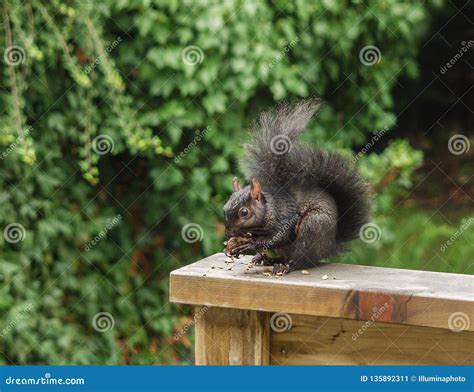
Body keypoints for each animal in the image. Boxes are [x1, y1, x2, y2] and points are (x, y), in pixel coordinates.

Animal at [224, 99, 372, 276]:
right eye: (224, 207)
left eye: (244, 212)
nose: (229, 232)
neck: (269, 208)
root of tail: (330, 246)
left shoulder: (285, 217)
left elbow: (278, 237)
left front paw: (250, 244)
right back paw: (263, 258)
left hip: (313, 227)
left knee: (300, 259)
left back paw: (285, 266)